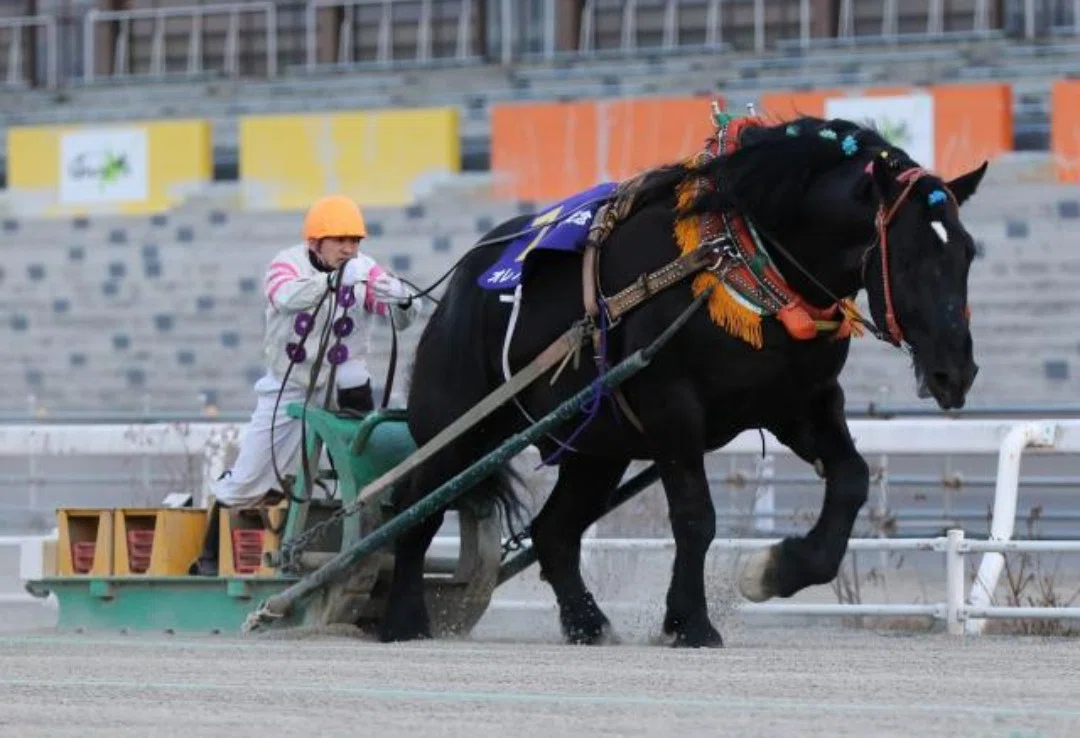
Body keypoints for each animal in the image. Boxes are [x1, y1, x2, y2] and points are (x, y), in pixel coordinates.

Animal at [381, 113, 987, 647]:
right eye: (908, 257)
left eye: (967, 253)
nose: (955, 370)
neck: (734, 256)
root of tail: (463, 280)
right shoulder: (671, 408)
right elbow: (696, 517)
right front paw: (691, 622)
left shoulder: (801, 403)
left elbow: (852, 480)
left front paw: (774, 570)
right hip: (459, 426)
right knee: (414, 508)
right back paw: (402, 617)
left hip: (597, 444)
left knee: (553, 532)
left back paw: (587, 623)